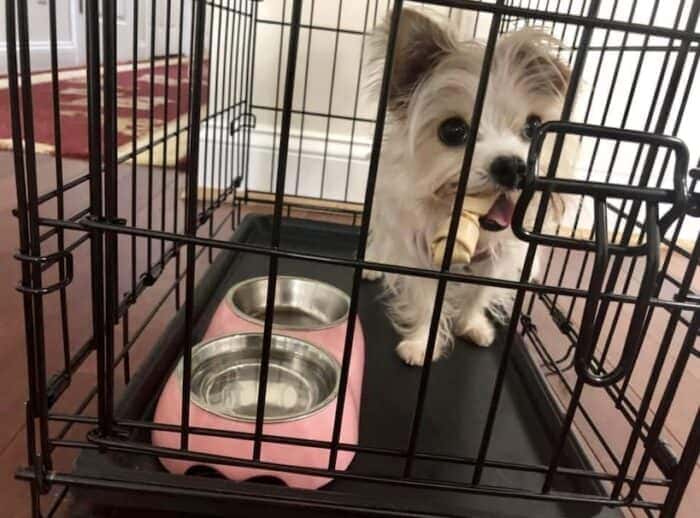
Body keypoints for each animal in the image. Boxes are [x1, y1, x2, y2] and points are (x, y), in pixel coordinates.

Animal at [364, 8, 576, 366]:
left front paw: (472, 324)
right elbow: (426, 301)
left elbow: (480, 292)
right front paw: (421, 343)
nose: (512, 166)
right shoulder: (419, 250)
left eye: (534, 127)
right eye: (453, 131)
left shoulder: (500, 256)